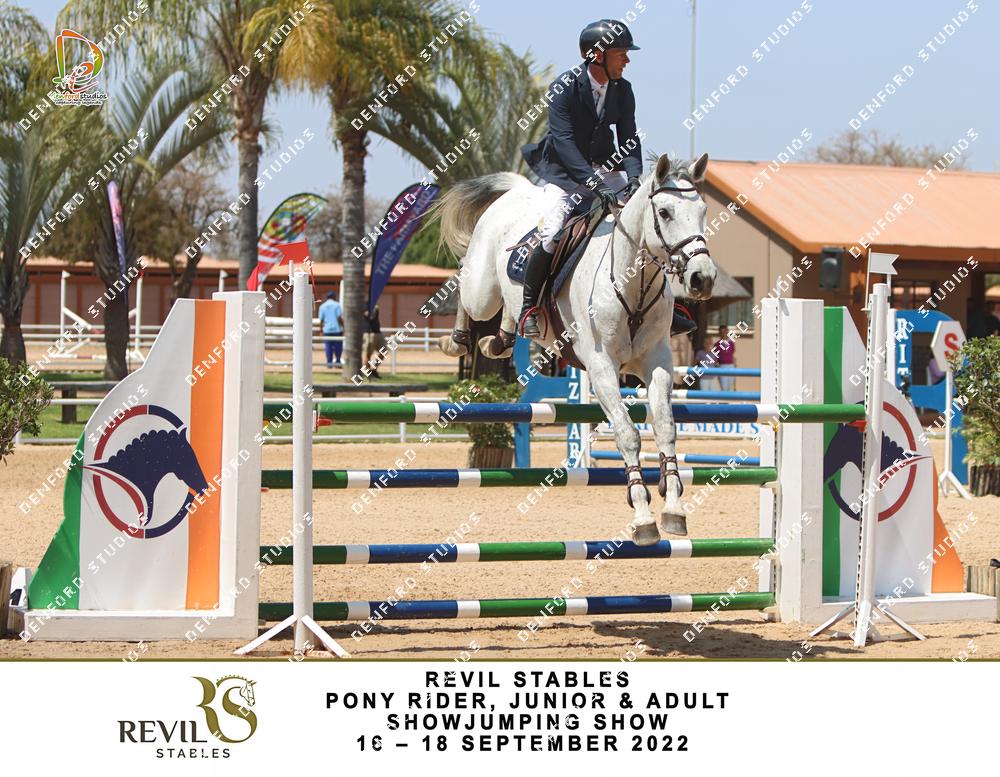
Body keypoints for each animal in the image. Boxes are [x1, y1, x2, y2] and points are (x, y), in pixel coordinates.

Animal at [435, 153, 718, 545]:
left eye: (703, 209)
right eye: (664, 213)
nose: (702, 278)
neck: (632, 283)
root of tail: (519, 191)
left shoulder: (656, 363)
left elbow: (664, 428)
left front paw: (674, 509)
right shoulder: (602, 369)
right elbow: (628, 434)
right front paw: (643, 516)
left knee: (508, 311)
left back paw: (501, 338)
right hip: (482, 289)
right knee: (467, 285)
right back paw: (456, 339)